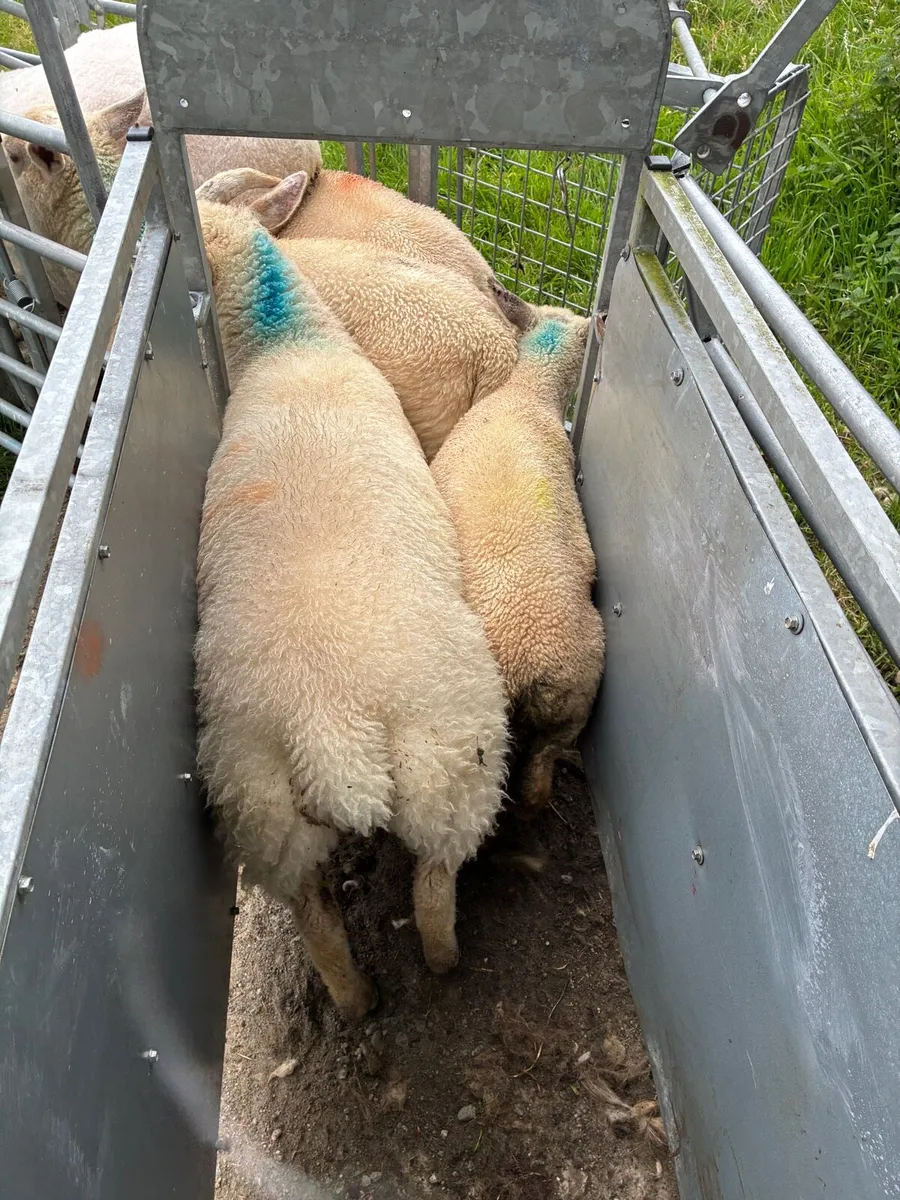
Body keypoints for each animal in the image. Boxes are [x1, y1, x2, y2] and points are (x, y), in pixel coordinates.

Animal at [194, 198, 509, 1019]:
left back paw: (356, 999)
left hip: (264, 814)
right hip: (450, 764)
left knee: (317, 921)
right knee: (432, 887)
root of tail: (328, 728)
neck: (287, 342)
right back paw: (442, 963)